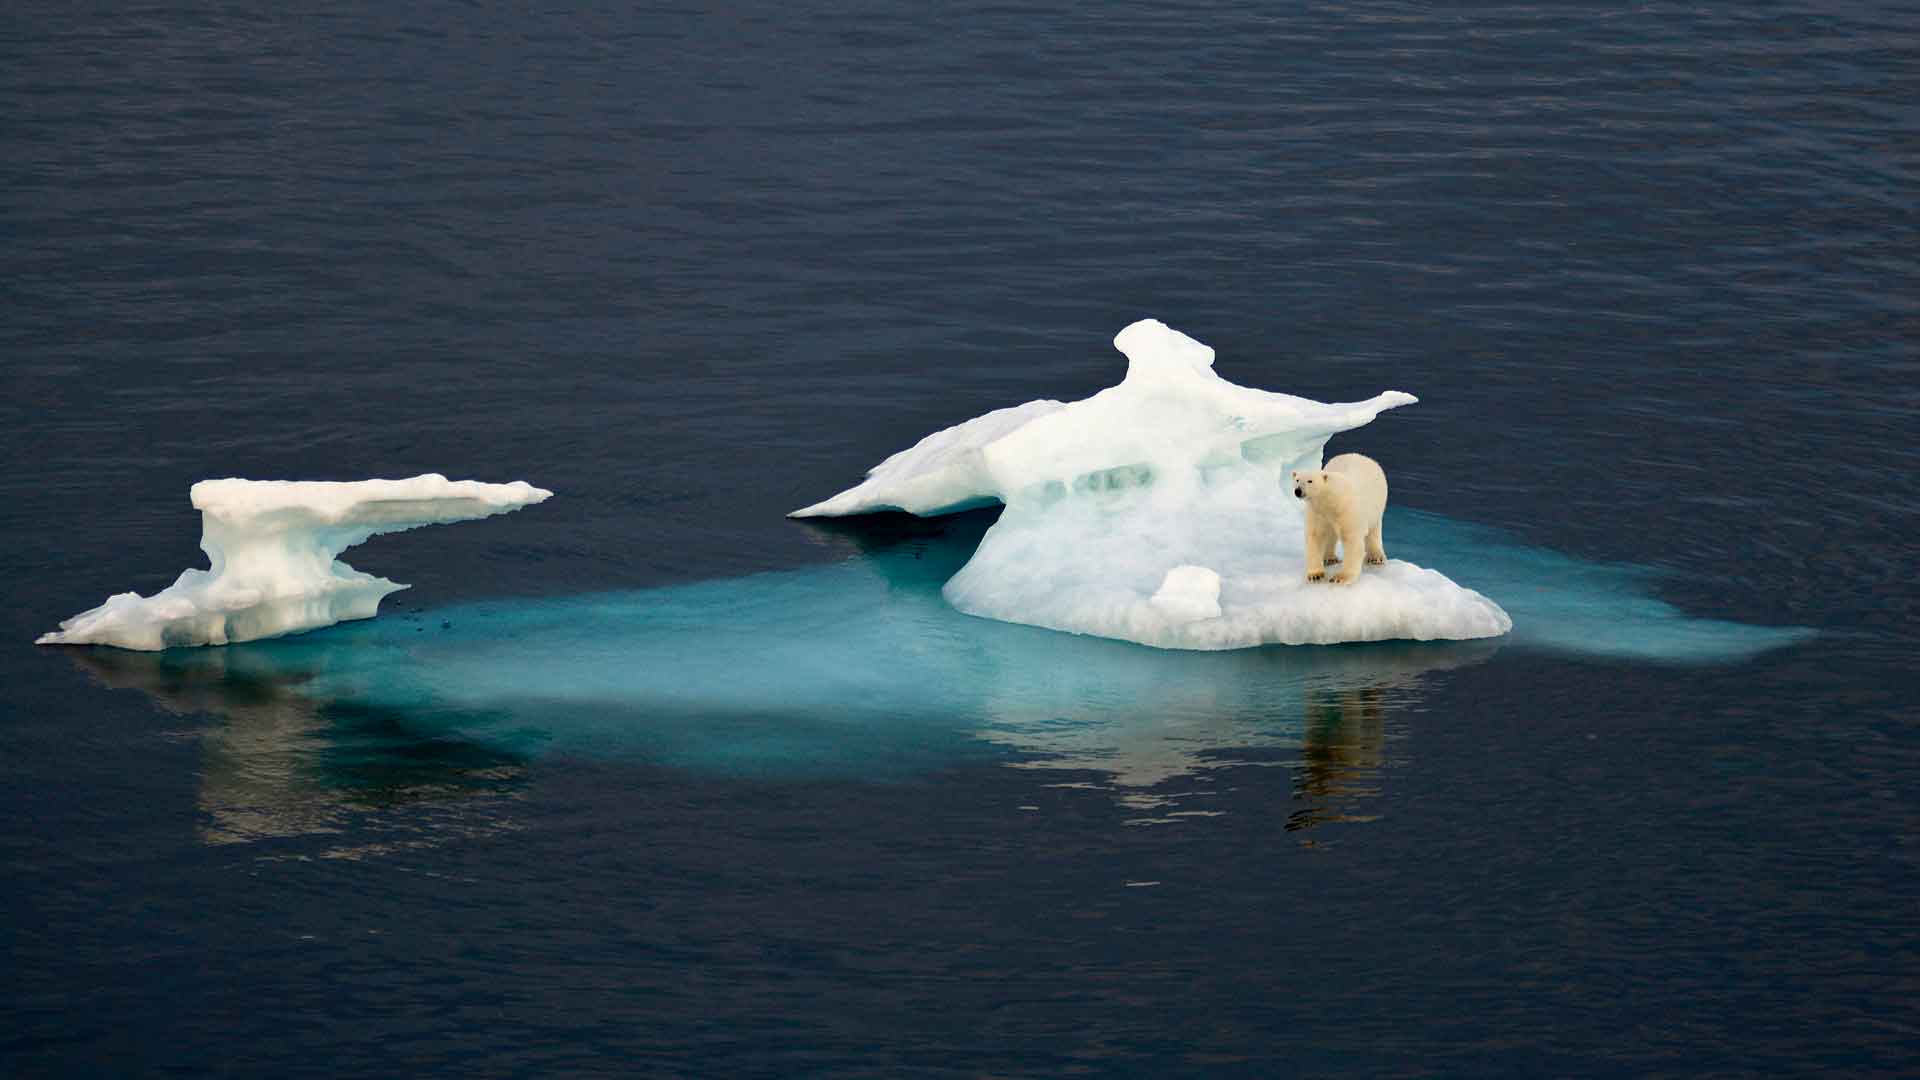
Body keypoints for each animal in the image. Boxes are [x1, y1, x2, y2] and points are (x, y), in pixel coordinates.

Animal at [1291, 453, 1389, 585]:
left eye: (1310, 481)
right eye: (1297, 480)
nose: (1298, 491)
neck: (1331, 499)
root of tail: (1364, 457)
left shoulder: (1347, 510)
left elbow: (1352, 541)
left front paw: (1340, 578)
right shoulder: (1318, 512)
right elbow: (1316, 536)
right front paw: (1316, 575)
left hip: (1376, 504)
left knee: (1373, 530)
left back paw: (1375, 557)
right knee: (1330, 534)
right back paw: (1329, 558)